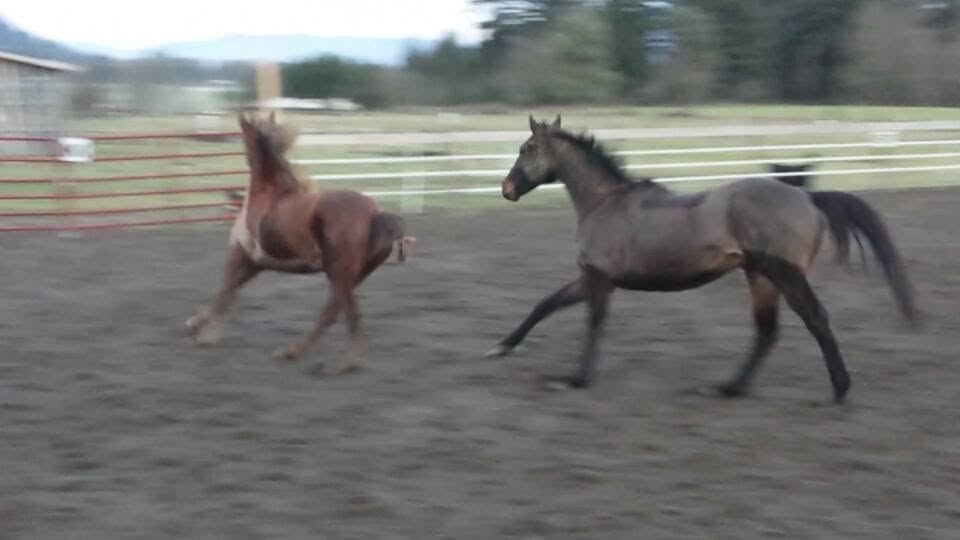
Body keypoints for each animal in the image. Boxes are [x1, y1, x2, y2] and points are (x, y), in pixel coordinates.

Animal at [186, 112, 414, 374]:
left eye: (244, 136)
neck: (269, 195)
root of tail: (375, 214)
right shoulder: (257, 263)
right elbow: (231, 291)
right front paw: (198, 326)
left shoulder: (241, 254)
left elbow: (226, 291)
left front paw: (200, 330)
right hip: (353, 275)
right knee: (341, 310)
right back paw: (335, 357)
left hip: (338, 272)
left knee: (334, 311)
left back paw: (312, 356)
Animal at [486, 115, 917, 403]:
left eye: (526, 149)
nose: (507, 189)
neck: (604, 204)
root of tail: (807, 197)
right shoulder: (590, 278)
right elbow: (546, 305)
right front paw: (501, 348)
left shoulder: (600, 280)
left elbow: (592, 325)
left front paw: (576, 379)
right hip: (759, 277)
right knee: (766, 331)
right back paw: (728, 388)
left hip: (784, 274)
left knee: (815, 320)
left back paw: (839, 390)